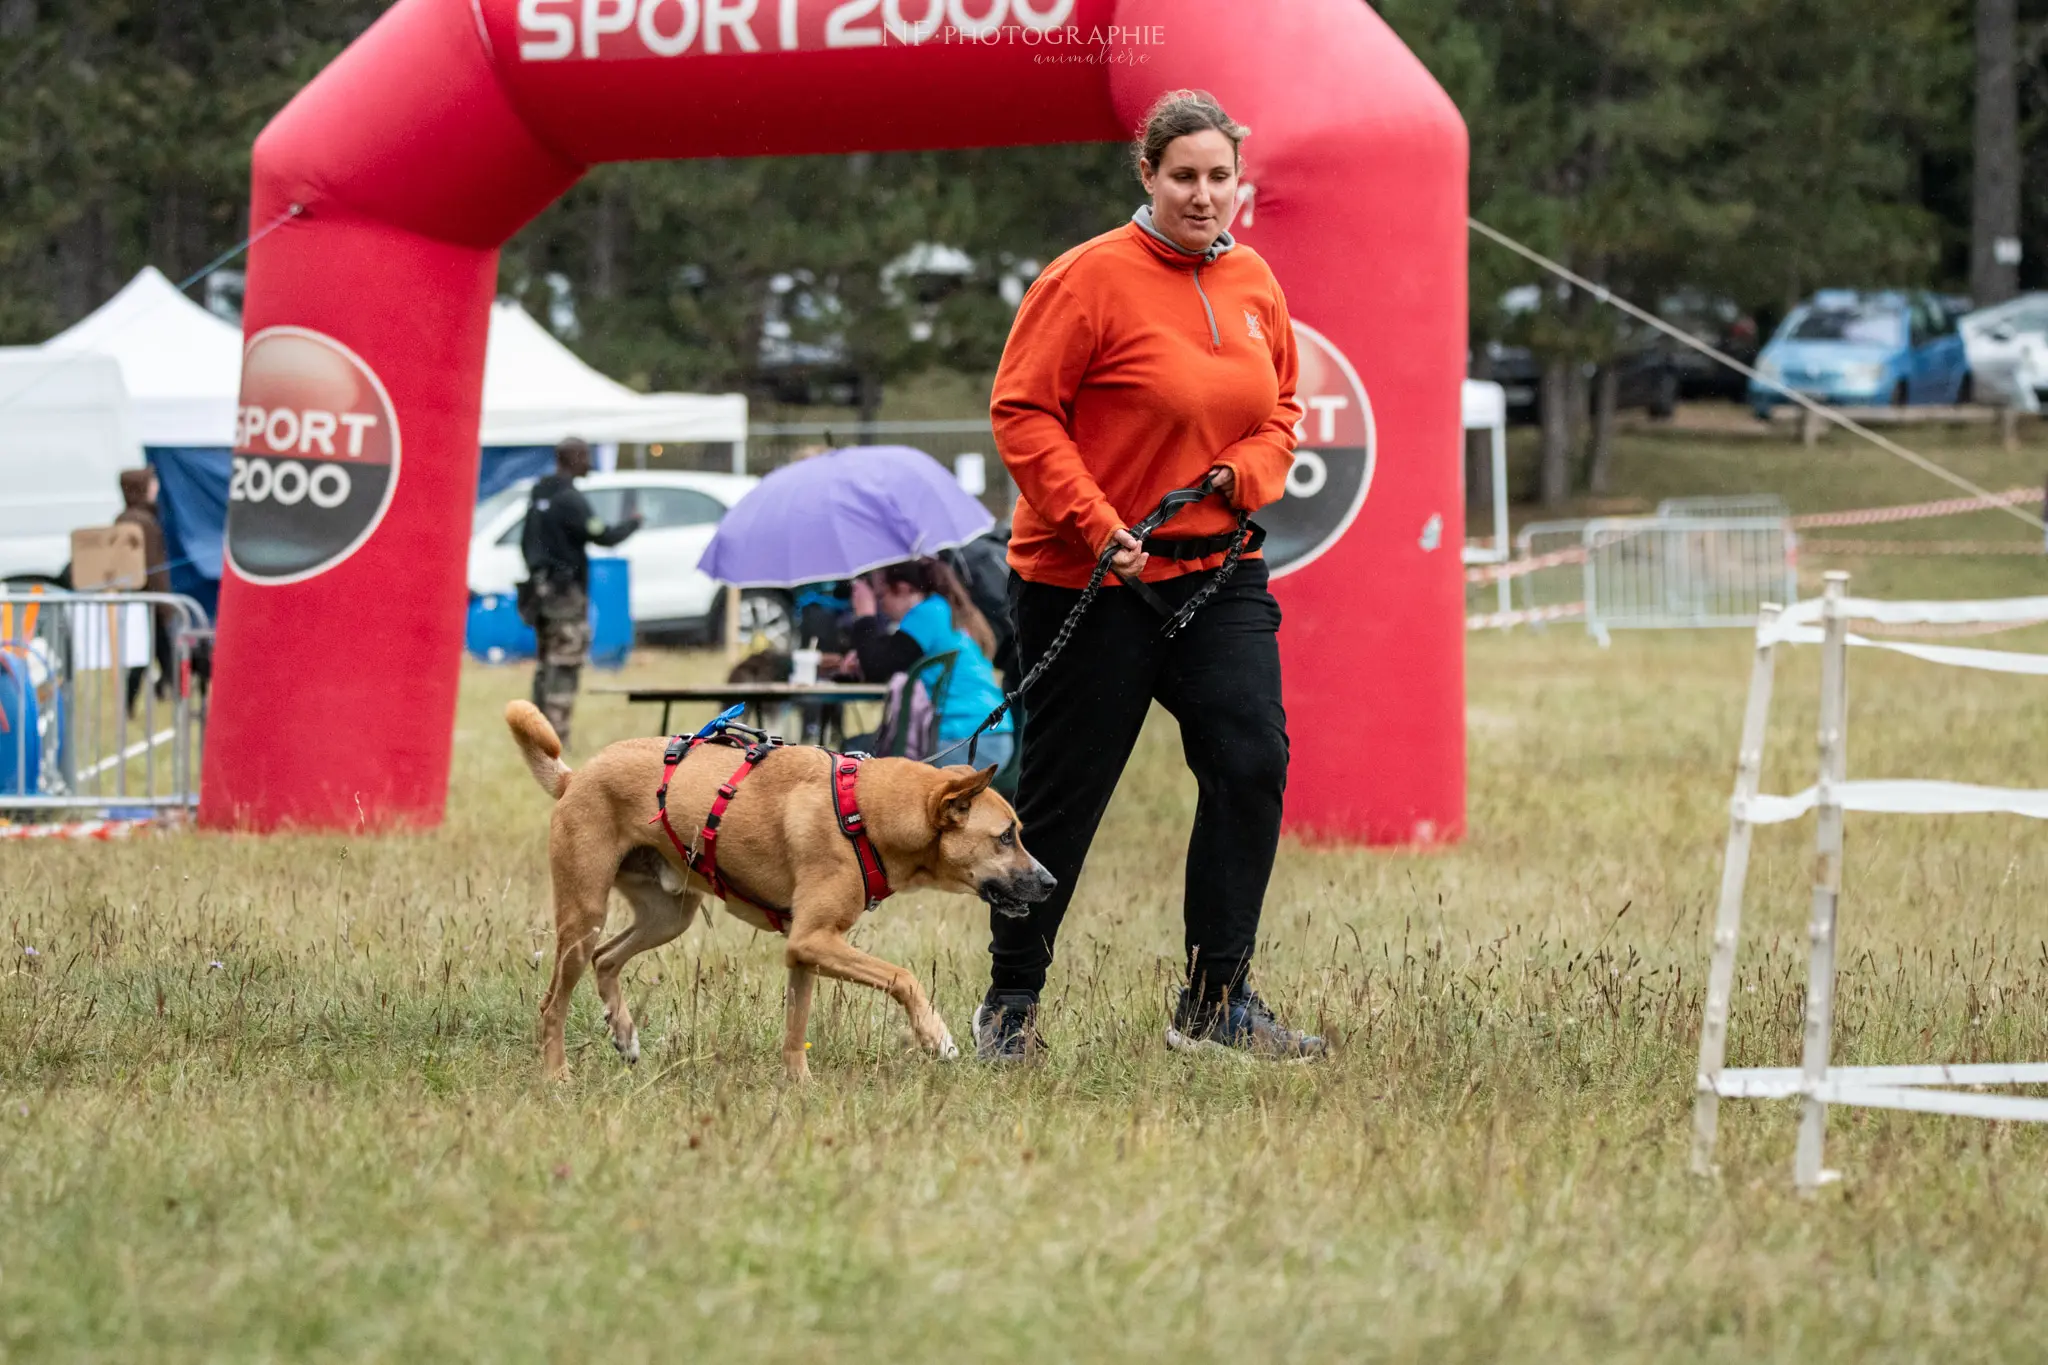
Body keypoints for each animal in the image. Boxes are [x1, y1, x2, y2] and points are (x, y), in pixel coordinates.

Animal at [499, 703, 1056, 1080]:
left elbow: (796, 1028)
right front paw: (935, 1037)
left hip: (667, 915)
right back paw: (557, 1076)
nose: (1051, 883)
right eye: (1005, 837)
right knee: (554, 1003)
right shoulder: (815, 940)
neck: (865, 812)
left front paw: (798, 1086)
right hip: (583, 915)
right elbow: (904, 977)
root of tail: (574, 777)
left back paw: (624, 1035)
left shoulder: (805, 950)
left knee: (608, 958)